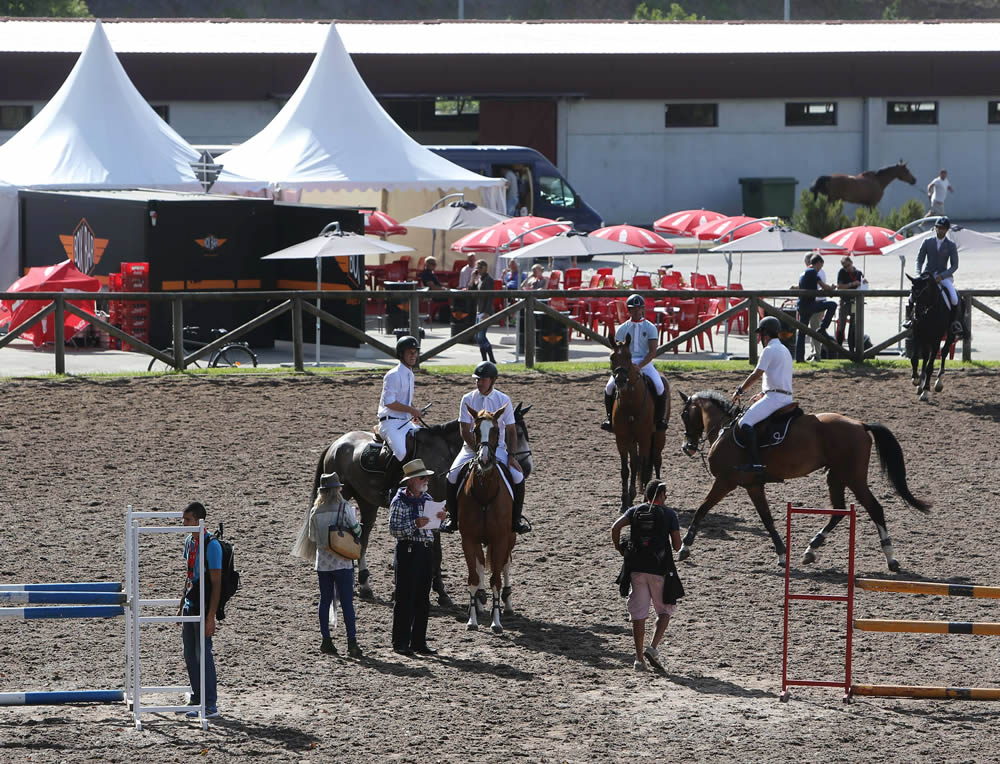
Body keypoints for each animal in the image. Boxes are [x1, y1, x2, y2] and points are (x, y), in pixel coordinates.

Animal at [314, 402, 536, 604]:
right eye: (517, 433)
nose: (525, 467)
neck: (445, 452)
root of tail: (337, 443)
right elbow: (436, 553)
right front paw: (441, 591)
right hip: (343, 496)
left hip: (368, 502)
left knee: (363, 537)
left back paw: (365, 585)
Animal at [458, 406, 516, 632]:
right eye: (475, 430)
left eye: (496, 431)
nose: (484, 460)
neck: (484, 494)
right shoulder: (468, 539)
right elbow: (474, 577)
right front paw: (472, 620)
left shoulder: (499, 539)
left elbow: (496, 580)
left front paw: (496, 621)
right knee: (481, 563)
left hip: (510, 537)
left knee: (506, 563)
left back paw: (507, 604)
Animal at [604, 338, 668, 508]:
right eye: (612, 357)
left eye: (629, 356)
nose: (620, 380)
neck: (631, 403)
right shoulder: (622, 438)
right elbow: (626, 469)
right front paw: (625, 500)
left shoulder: (644, 438)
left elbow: (644, 465)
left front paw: (646, 497)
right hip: (632, 440)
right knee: (635, 463)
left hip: (659, 436)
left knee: (656, 460)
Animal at [676, 390, 932, 572]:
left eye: (684, 415)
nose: (687, 446)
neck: (726, 429)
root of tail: (860, 424)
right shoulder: (753, 485)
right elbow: (767, 519)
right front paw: (782, 554)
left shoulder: (725, 481)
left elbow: (701, 509)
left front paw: (684, 548)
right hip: (836, 476)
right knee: (839, 511)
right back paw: (811, 549)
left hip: (853, 477)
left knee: (874, 508)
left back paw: (891, 558)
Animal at [912, 274, 956, 406]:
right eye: (912, 291)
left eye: (925, 292)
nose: (916, 315)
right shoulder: (917, 337)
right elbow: (915, 359)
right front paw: (916, 380)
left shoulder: (936, 341)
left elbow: (930, 367)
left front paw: (925, 392)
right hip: (926, 339)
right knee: (926, 356)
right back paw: (920, 385)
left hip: (949, 335)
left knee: (944, 351)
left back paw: (938, 383)